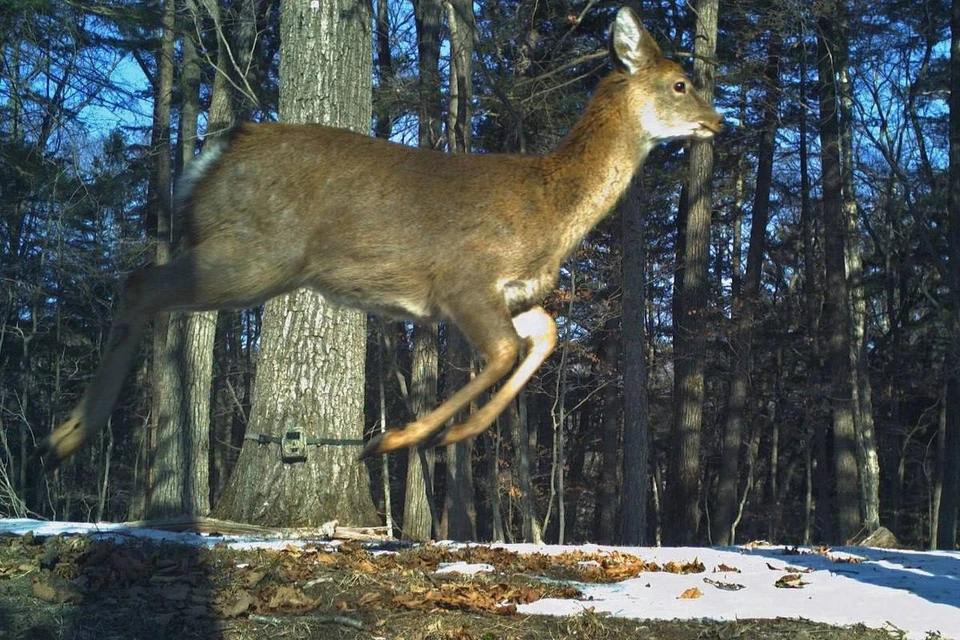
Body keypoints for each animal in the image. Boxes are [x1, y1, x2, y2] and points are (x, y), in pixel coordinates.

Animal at [41, 6, 724, 470]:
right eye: (680, 82)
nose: (719, 122)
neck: (550, 209)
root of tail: (213, 153)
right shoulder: (463, 278)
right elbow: (503, 352)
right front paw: (398, 439)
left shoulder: (513, 293)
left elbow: (545, 337)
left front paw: (451, 435)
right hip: (256, 253)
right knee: (140, 283)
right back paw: (68, 434)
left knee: (146, 289)